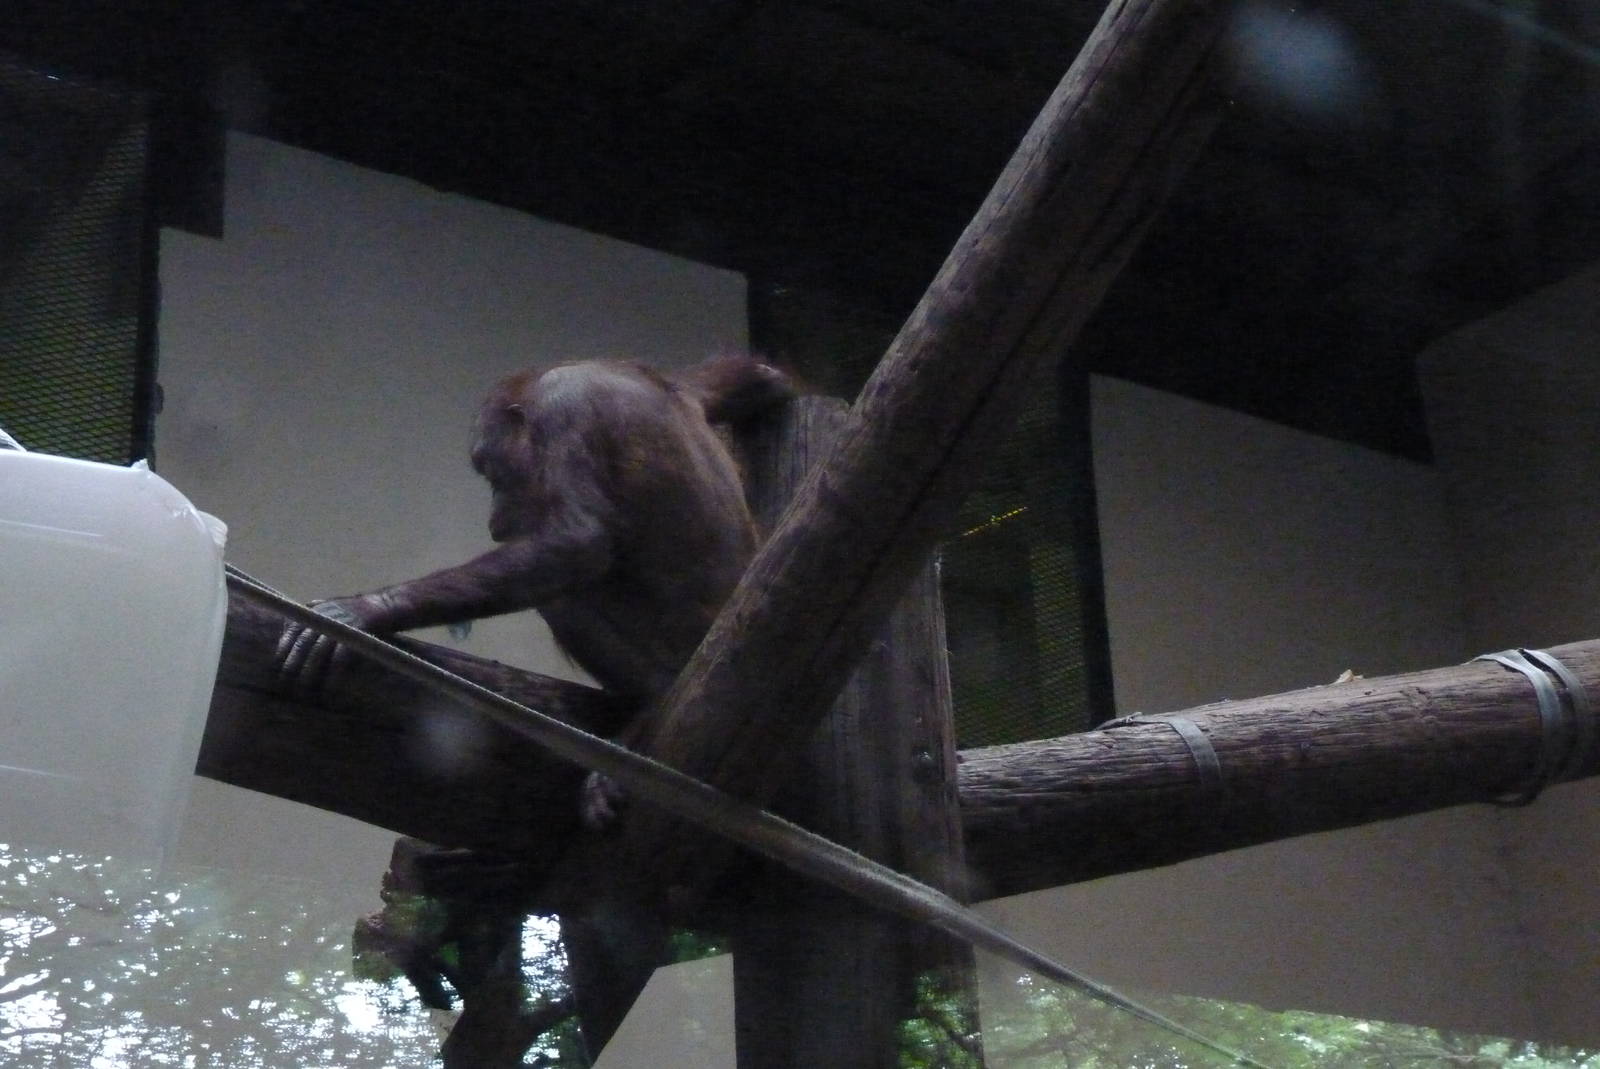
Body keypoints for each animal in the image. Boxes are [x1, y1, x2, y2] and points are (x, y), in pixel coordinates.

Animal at [277, 354, 794, 827]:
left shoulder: (565, 407)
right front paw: (770, 383)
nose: (495, 517)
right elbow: (735, 377)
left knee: (564, 594)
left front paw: (366, 611)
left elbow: (576, 542)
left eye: (491, 472)